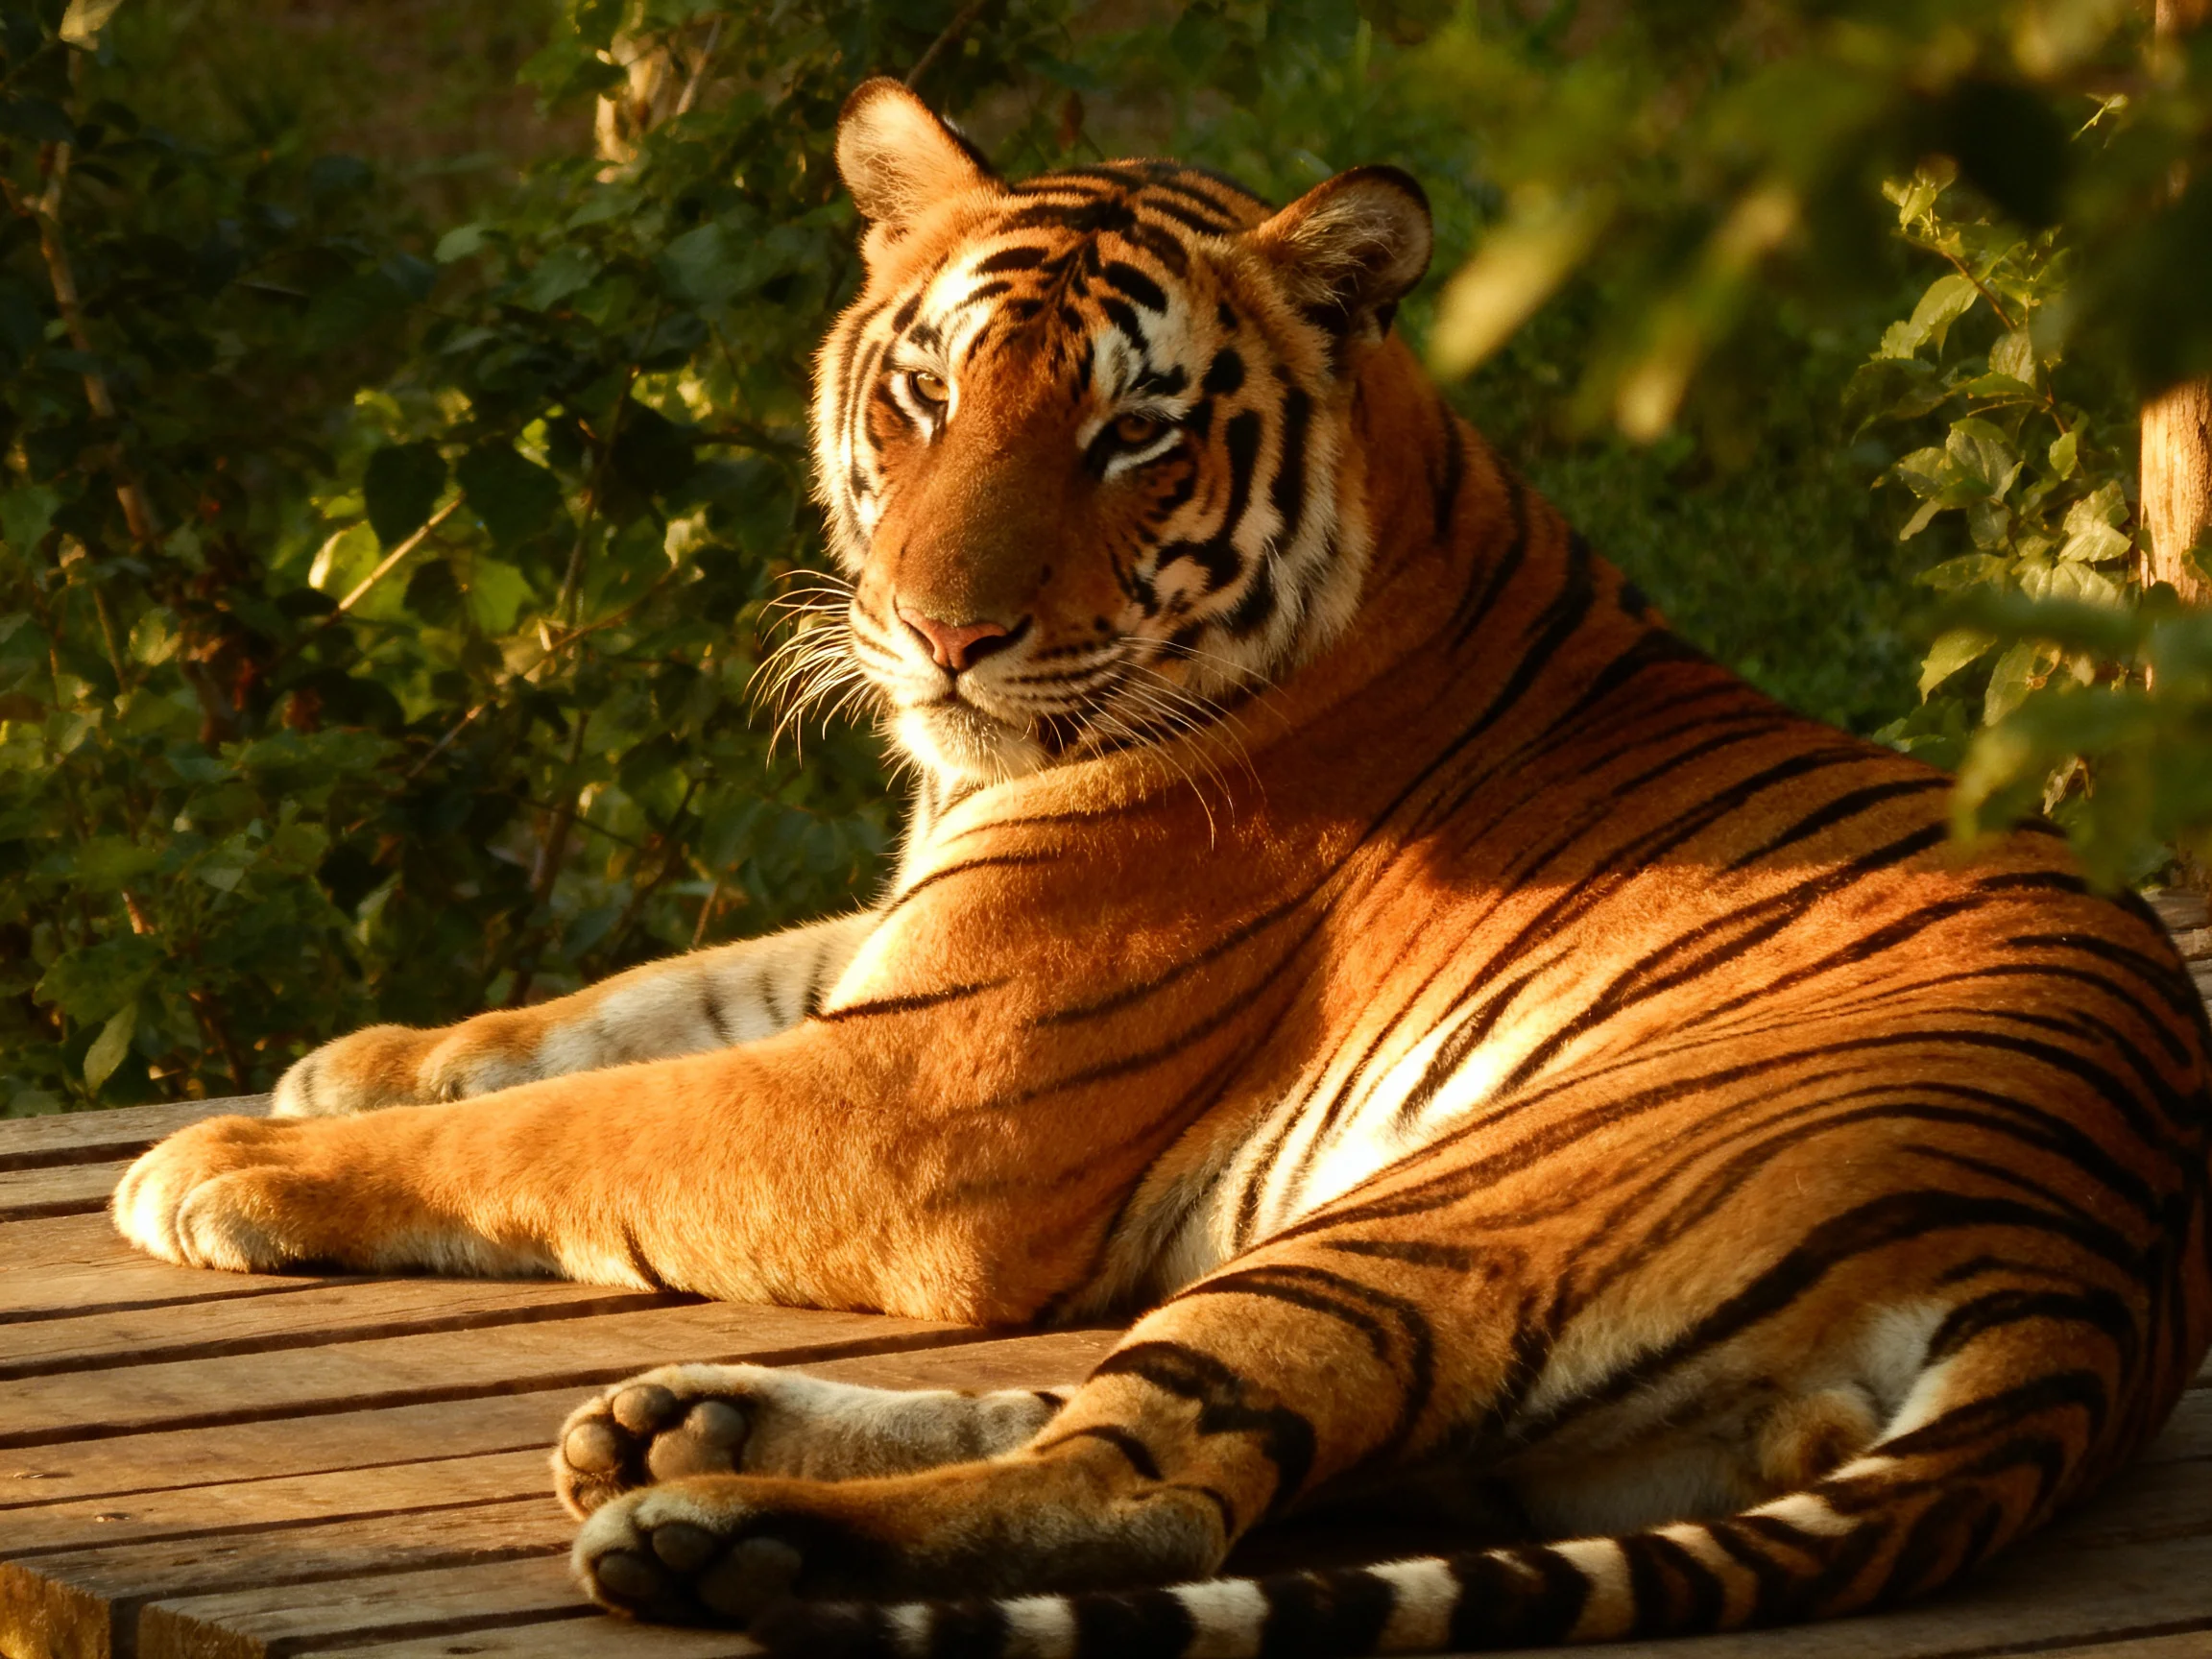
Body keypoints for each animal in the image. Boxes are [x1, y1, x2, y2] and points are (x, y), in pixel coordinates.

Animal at [113, 75, 2211, 1659]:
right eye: (925, 396)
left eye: (1132, 431)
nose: (936, 634)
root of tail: (2096, 1274)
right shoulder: (898, 949)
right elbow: (626, 1005)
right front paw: (355, 1061)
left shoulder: (920, 1095)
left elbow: (573, 1123)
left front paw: (225, 1161)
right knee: (1172, 1434)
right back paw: (690, 1428)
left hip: (1430, 1222)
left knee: (1152, 1489)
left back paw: (724, 1529)